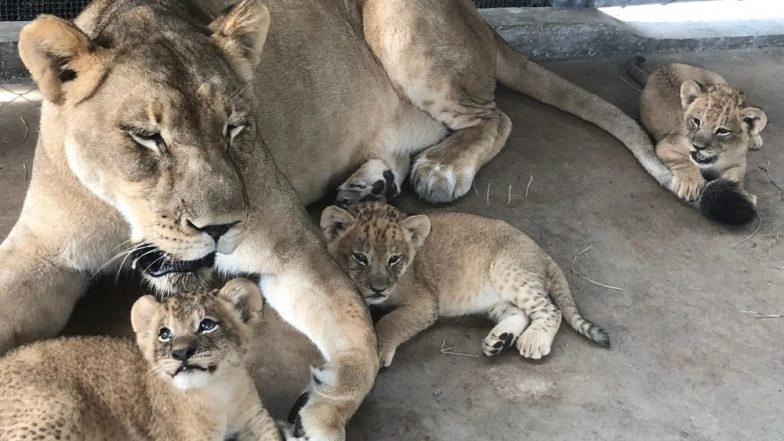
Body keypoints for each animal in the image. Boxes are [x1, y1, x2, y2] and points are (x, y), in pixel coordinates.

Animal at [0, 279, 282, 441]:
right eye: (164, 334)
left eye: (207, 325)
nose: (181, 353)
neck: (219, 392)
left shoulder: (256, 419)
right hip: (61, 408)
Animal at [320, 202, 610, 367]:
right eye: (360, 257)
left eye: (394, 259)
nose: (378, 288)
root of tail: (541, 252)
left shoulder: (426, 302)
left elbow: (391, 321)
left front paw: (378, 350)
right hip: (494, 301)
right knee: (521, 313)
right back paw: (499, 341)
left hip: (509, 269)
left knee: (551, 309)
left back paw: (534, 341)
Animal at [626, 56, 767, 224]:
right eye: (696, 121)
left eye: (722, 131)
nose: (697, 146)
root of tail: (662, 67)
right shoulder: (667, 144)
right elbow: (684, 161)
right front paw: (690, 184)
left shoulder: (738, 162)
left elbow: (735, 177)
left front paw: (742, 194)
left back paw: (755, 137)